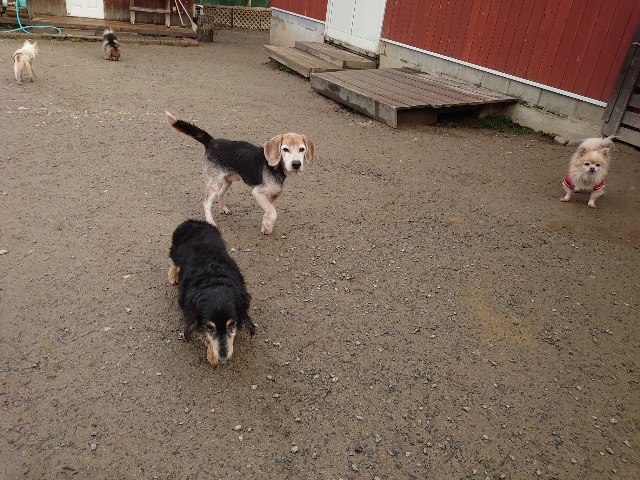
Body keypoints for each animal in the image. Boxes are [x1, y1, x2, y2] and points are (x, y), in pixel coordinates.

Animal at [166, 111, 314, 235]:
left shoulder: (274, 195)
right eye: (285, 149)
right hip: (214, 183)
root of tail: (212, 141)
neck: (277, 167)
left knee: (220, 194)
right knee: (206, 203)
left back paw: (223, 209)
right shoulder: (258, 192)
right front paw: (267, 225)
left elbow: (269, 211)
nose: (296, 164)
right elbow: (272, 212)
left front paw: (266, 226)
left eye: (302, 149)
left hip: (228, 181)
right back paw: (210, 221)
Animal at [169, 219, 255, 366]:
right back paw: (173, 276)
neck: (213, 278)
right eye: (209, 327)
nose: (223, 361)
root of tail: (193, 221)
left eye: (232, 324)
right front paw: (212, 355)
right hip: (175, 251)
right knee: (173, 262)